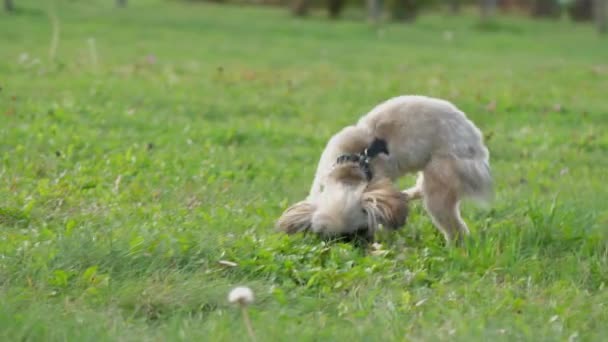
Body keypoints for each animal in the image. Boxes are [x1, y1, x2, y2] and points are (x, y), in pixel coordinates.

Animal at [278, 95, 492, 243]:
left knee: (454, 227)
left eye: (362, 230)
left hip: (442, 177)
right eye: (330, 238)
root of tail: (478, 144)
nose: (355, 247)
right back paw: (406, 195)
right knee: (419, 189)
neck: (350, 166)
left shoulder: (377, 181)